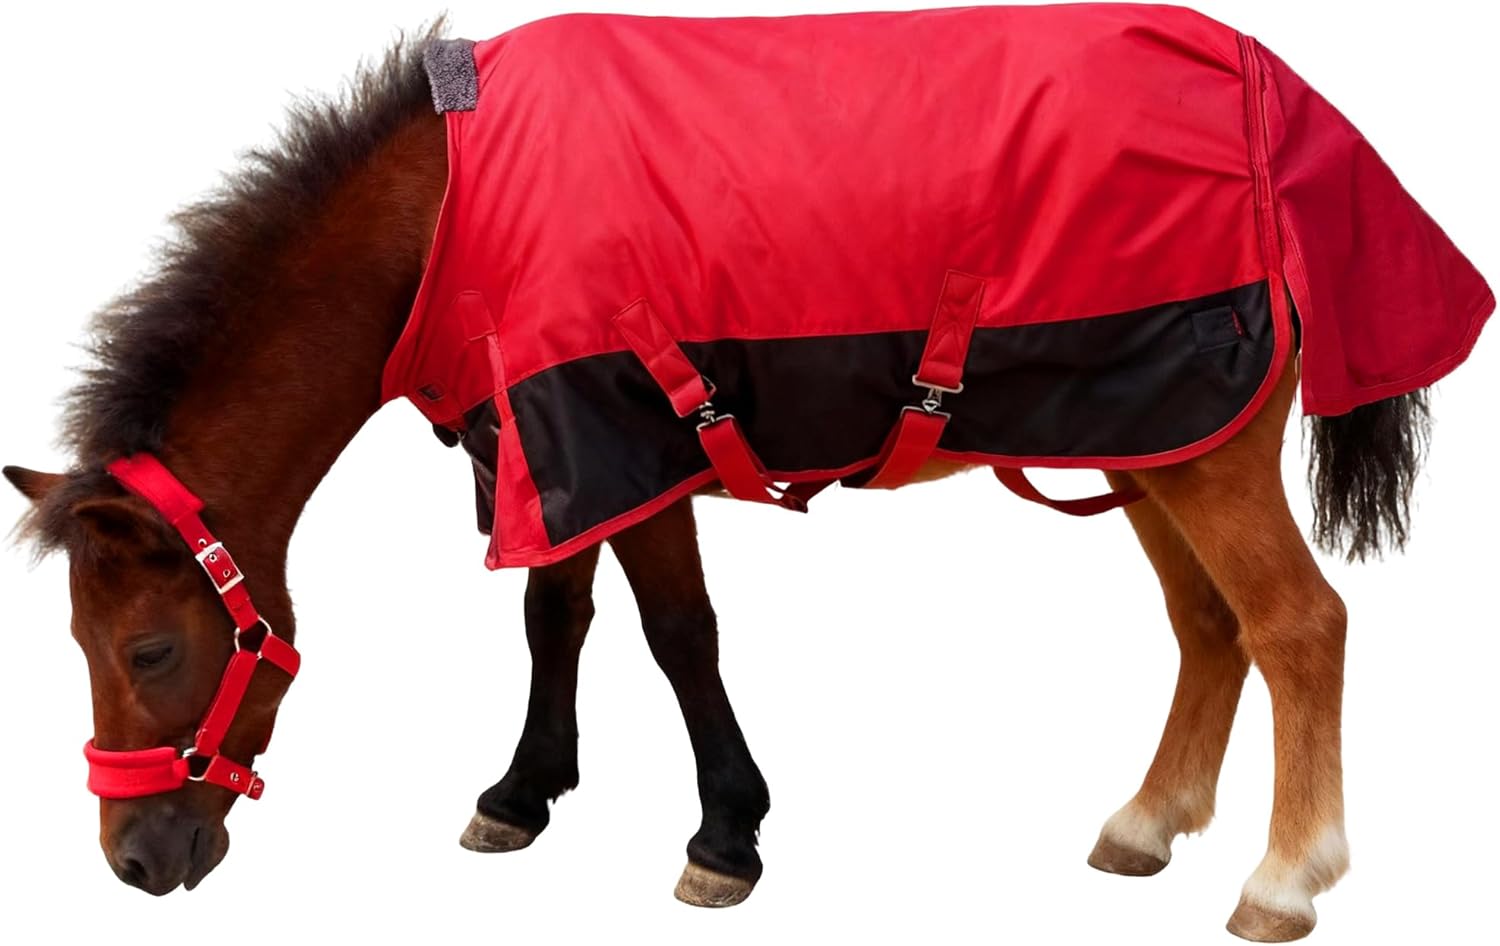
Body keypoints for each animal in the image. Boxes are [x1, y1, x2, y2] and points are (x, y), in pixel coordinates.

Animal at [3, 10, 1492, 943]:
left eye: (146, 649)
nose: (132, 862)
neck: (450, 213)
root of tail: (1280, 104)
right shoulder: (548, 452)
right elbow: (555, 618)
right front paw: (522, 793)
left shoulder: (633, 441)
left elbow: (676, 635)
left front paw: (726, 835)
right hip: (1150, 441)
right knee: (1206, 627)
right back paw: (1148, 819)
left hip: (1204, 448)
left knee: (1296, 625)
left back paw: (1285, 877)